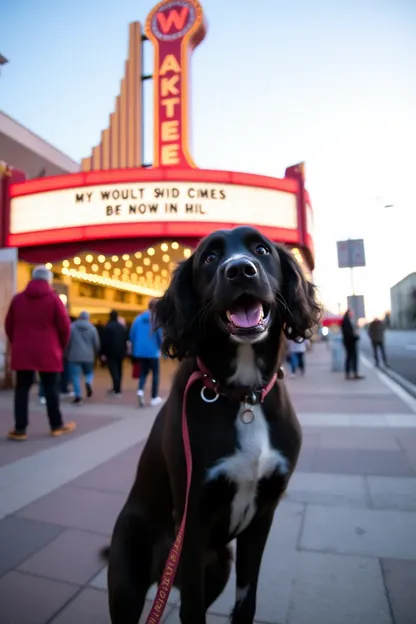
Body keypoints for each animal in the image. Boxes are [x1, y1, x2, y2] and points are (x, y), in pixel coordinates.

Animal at [105, 225, 322, 624]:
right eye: (209, 257)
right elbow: (192, 610)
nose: (240, 271)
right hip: (128, 576)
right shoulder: (192, 521)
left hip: (220, 564)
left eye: (261, 249)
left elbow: (246, 601)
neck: (243, 395)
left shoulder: (263, 514)